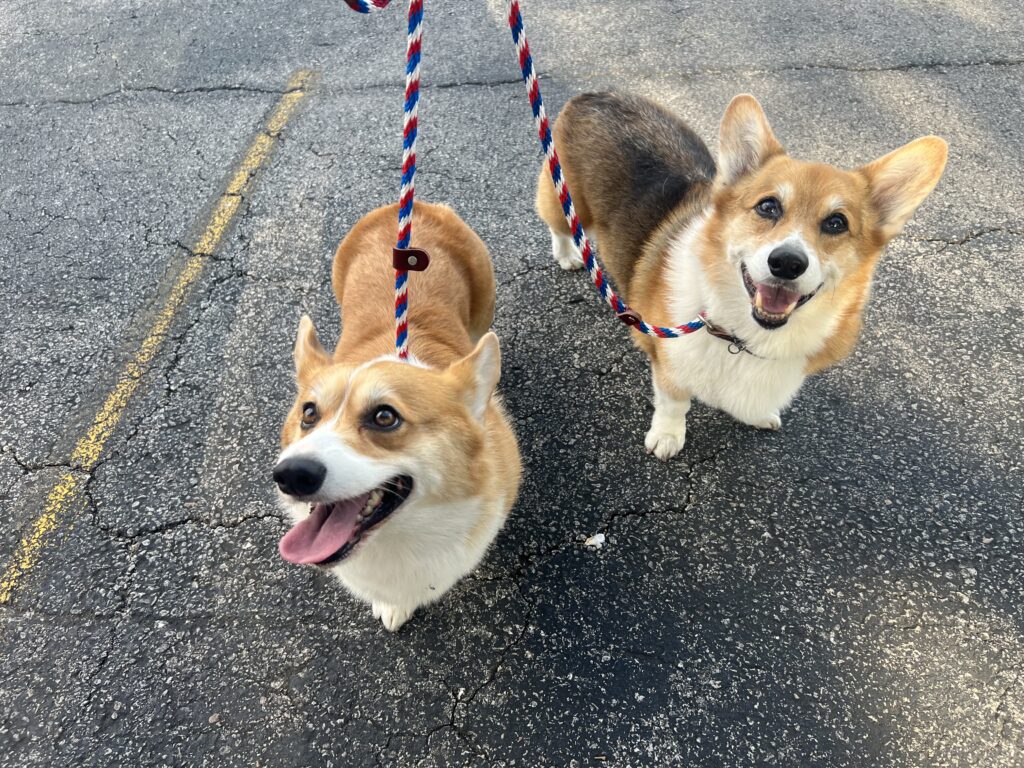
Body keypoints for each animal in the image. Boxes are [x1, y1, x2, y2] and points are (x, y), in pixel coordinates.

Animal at [540, 93, 946, 460]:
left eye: (836, 223)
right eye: (768, 206)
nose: (787, 263)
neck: (743, 335)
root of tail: (592, 95)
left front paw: (761, 415)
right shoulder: (668, 363)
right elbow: (674, 403)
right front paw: (667, 437)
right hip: (563, 199)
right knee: (558, 225)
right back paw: (569, 255)